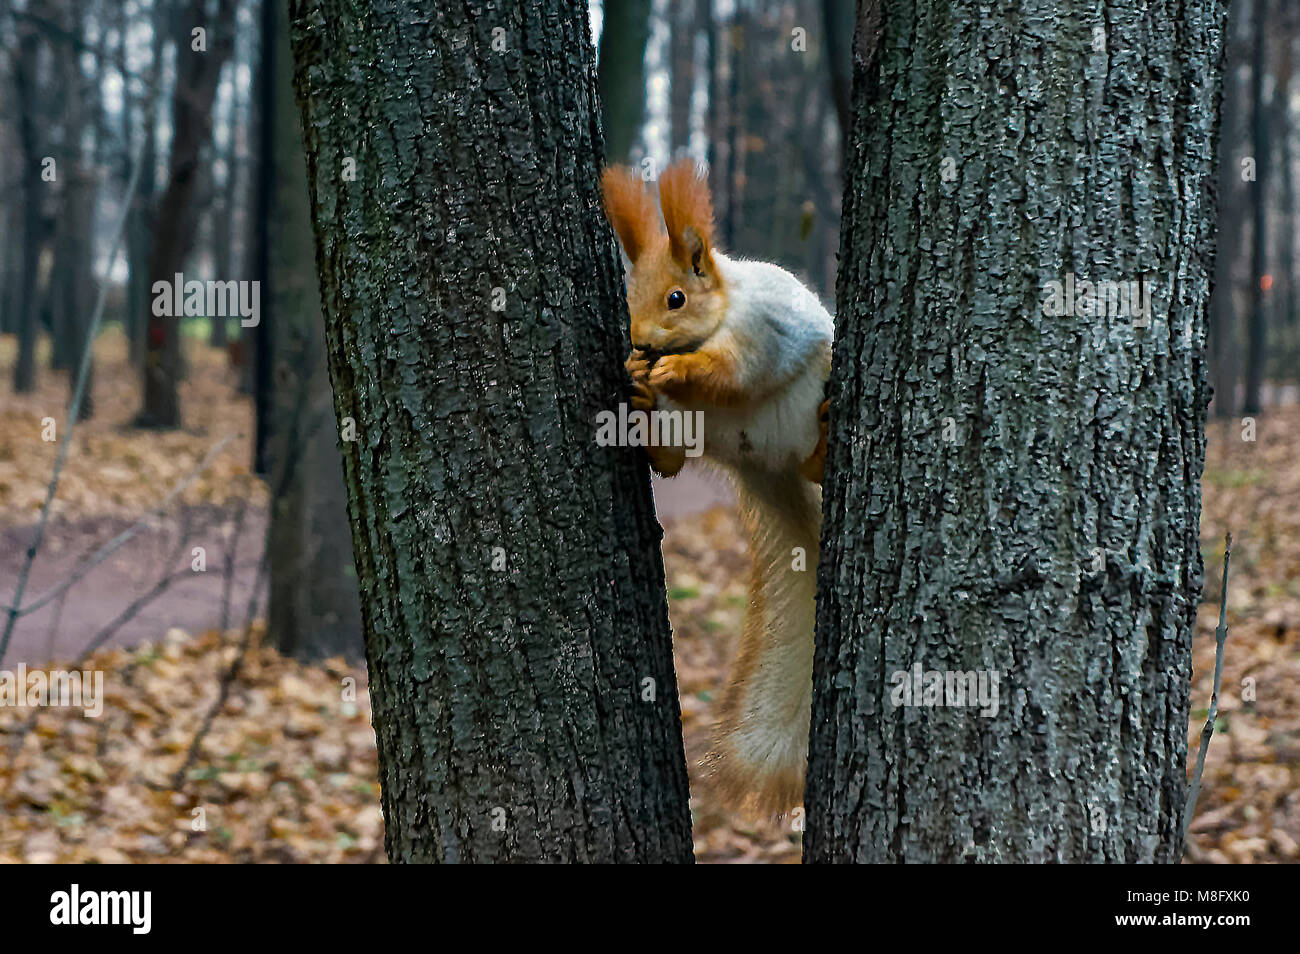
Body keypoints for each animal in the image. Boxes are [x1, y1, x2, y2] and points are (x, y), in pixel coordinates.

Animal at [598, 157, 832, 816]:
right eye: (628, 295)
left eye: (677, 298)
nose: (641, 343)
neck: (719, 316)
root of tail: (765, 463)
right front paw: (637, 373)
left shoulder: (763, 334)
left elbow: (730, 371)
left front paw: (677, 367)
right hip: (697, 426)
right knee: (676, 461)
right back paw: (647, 420)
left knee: (812, 463)